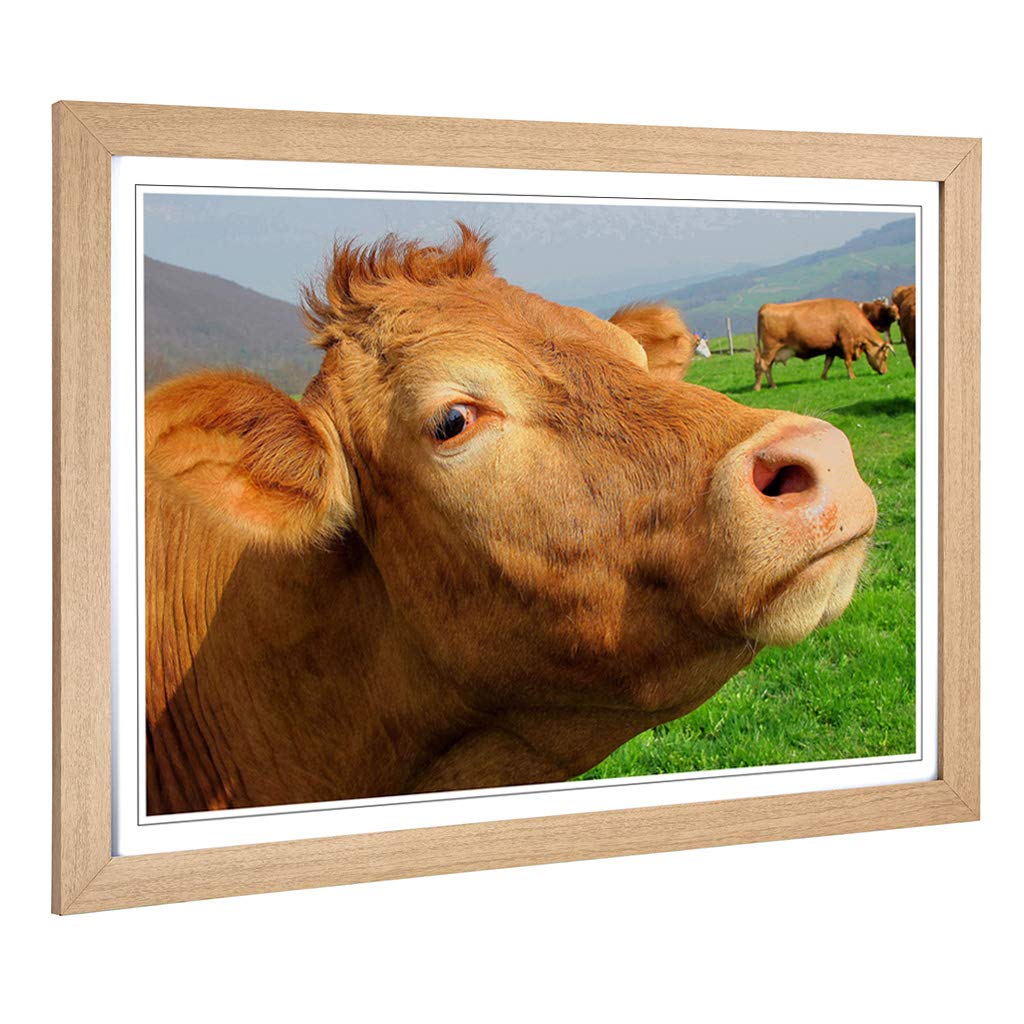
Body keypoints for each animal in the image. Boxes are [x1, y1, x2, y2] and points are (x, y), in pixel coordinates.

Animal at [754, 298, 892, 392]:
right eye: (885, 356)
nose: (885, 371)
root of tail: (767, 306)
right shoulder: (846, 341)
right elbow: (848, 361)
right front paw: (852, 376)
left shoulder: (831, 347)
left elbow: (828, 363)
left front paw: (823, 378)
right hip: (771, 348)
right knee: (763, 365)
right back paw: (759, 387)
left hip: (773, 351)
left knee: (767, 367)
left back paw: (771, 385)